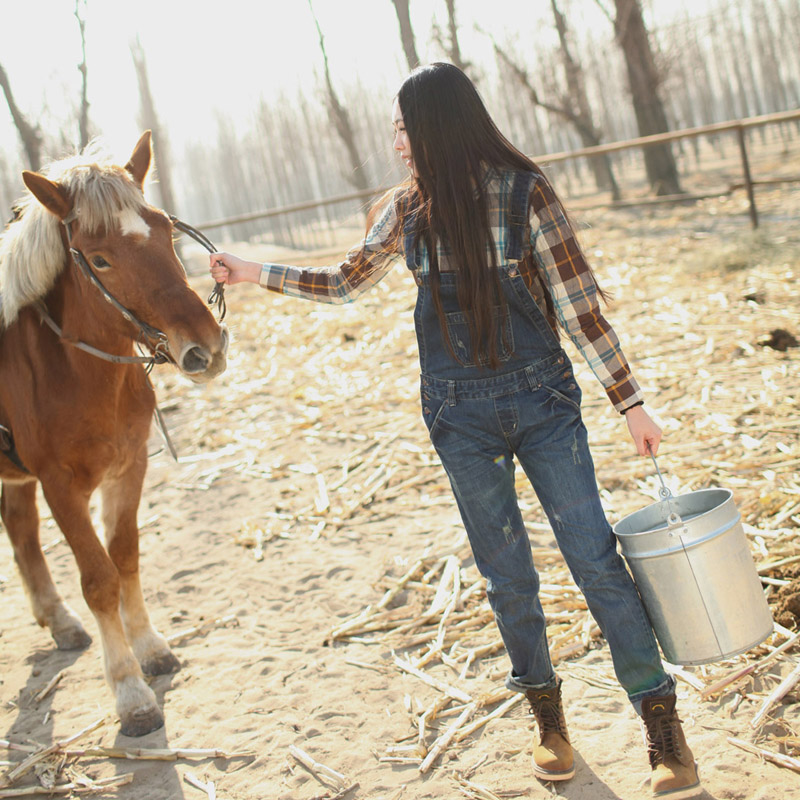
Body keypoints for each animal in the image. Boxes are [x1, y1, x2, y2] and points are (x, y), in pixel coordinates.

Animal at [0, 133, 228, 736]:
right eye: (99, 258)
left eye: (165, 230)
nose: (206, 347)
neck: (74, 369)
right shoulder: (60, 486)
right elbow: (99, 577)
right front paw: (130, 692)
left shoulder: (129, 468)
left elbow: (125, 557)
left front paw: (151, 648)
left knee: (21, 528)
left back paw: (59, 621)